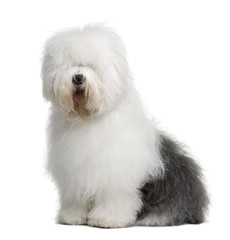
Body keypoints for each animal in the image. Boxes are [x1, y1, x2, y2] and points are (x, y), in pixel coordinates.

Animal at [41, 24, 208, 229]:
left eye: (92, 66)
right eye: (69, 64)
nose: (78, 77)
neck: (89, 119)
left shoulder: (115, 174)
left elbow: (114, 197)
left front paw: (107, 219)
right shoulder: (74, 174)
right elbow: (76, 199)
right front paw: (72, 217)